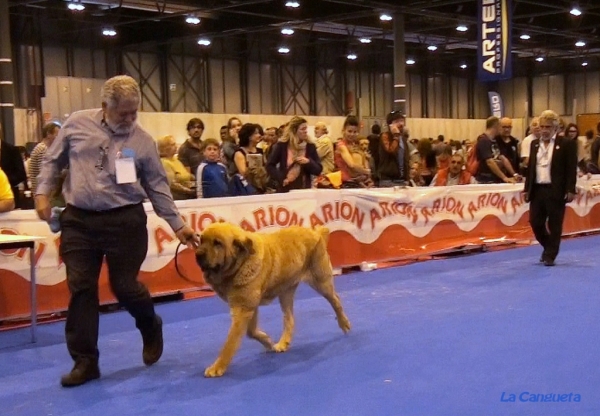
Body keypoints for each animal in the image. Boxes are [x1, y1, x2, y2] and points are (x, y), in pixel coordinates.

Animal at [195, 223, 350, 378]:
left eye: (217, 243)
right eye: (201, 240)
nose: (198, 254)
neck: (241, 263)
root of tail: (316, 232)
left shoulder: (244, 309)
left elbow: (230, 343)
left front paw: (217, 367)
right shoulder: (249, 308)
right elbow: (251, 332)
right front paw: (268, 341)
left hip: (321, 283)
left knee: (336, 301)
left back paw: (344, 323)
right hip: (286, 293)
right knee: (289, 319)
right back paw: (283, 343)